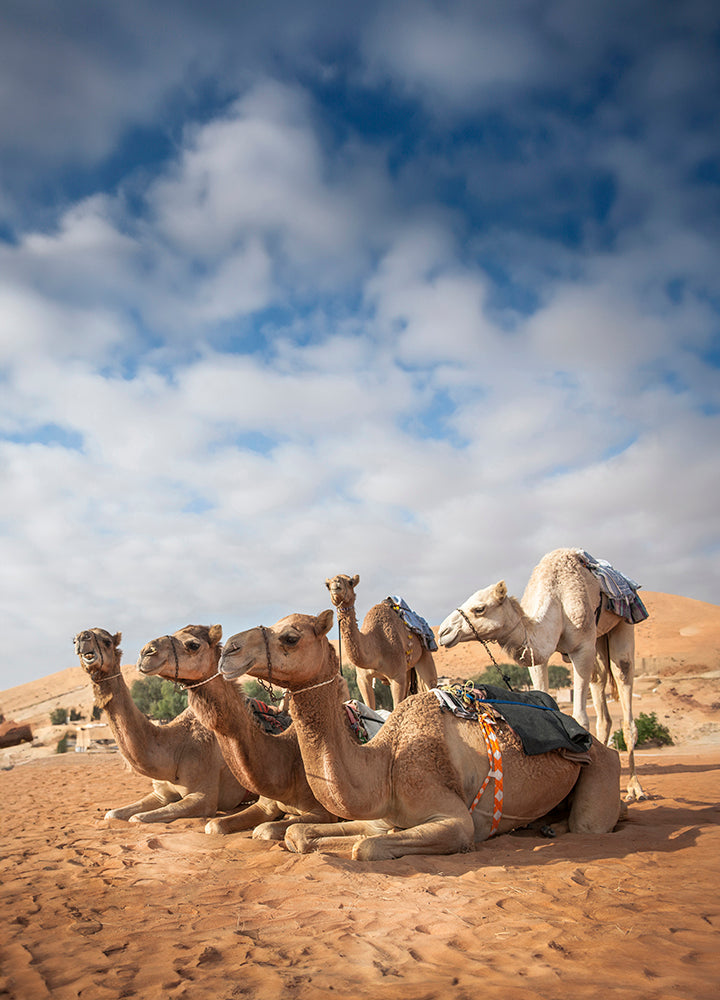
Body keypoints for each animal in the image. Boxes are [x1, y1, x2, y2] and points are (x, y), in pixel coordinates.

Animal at [73, 628, 253, 824]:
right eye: (75, 640)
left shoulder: (204, 798)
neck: (175, 749)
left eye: (106, 641)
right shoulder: (161, 794)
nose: (82, 638)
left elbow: (137, 818)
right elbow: (112, 814)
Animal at [219, 610, 621, 861]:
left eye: (290, 637)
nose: (229, 650)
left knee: (589, 823)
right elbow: (297, 835)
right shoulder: (377, 816)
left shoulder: (453, 819)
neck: (385, 765)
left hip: (600, 767)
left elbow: (367, 847)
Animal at [325, 574, 437, 710]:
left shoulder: (397, 676)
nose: (336, 584)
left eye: (350, 582)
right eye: (327, 585)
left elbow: (396, 706)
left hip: (425, 653)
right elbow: (370, 707)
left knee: (431, 684)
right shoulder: (362, 679)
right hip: (408, 669)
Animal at [437, 548, 646, 801]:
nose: (443, 632)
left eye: (479, 609)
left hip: (621, 626)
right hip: (599, 641)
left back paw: (635, 788)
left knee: (623, 676)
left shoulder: (583, 647)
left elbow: (580, 717)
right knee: (600, 689)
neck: (557, 598)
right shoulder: (537, 656)